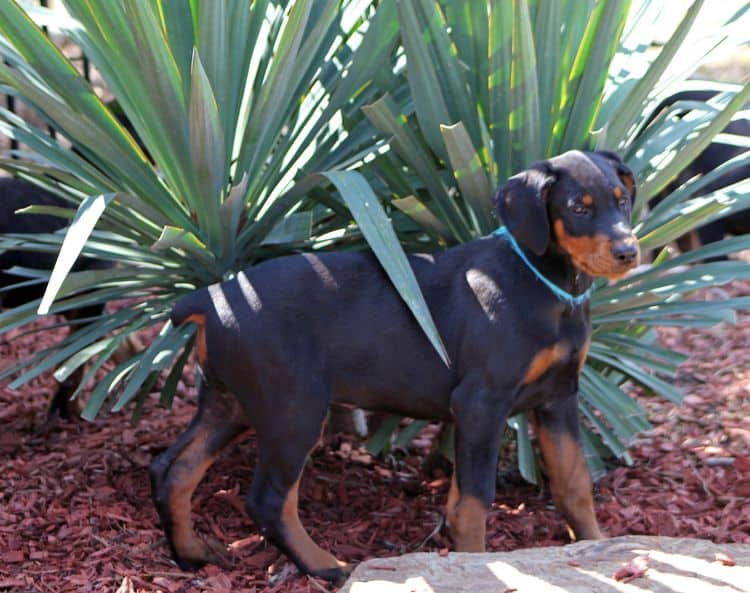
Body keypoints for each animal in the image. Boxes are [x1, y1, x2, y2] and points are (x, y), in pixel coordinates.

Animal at [151, 149, 640, 584]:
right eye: (579, 207)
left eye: (622, 200)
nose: (628, 251)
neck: (551, 286)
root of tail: (210, 298)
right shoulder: (482, 402)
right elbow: (474, 501)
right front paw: (474, 561)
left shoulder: (559, 396)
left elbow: (575, 483)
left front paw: (597, 544)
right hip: (293, 409)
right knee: (268, 500)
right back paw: (324, 565)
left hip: (230, 401)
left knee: (173, 470)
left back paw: (191, 553)